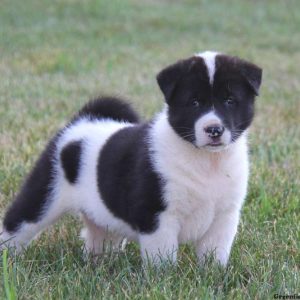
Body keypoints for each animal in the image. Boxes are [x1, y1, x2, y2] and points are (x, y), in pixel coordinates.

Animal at [0, 51, 262, 264]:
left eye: (230, 100)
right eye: (194, 102)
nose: (214, 130)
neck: (206, 161)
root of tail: (81, 121)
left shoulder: (224, 216)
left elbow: (215, 253)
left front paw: (213, 274)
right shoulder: (157, 215)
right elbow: (162, 257)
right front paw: (163, 280)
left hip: (103, 217)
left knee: (98, 237)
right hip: (45, 194)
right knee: (18, 223)